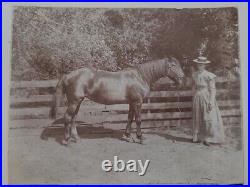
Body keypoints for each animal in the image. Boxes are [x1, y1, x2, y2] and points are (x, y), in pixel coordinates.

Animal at [49, 57, 185, 145]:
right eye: (173, 66)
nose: (182, 78)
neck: (140, 77)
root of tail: (67, 75)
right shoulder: (138, 102)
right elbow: (138, 120)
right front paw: (140, 138)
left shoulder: (132, 102)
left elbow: (130, 118)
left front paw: (128, 136)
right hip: (74, 101)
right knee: (67, 117)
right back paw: (66, 140)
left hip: (78, 101)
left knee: (73, 118)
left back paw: (77, 138)